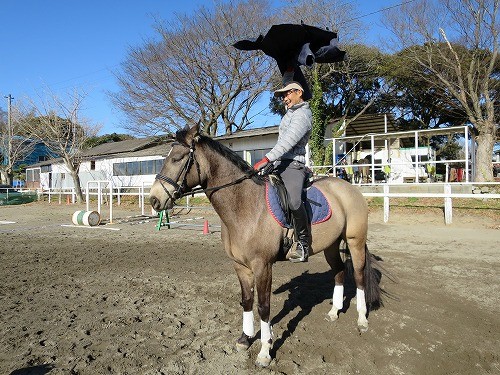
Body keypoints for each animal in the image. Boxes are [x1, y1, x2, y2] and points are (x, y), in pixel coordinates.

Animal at [149, 125, 382, 368]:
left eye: (177, 158)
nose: (154, 199)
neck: (244, 205)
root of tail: (349, 188)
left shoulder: (263, 266)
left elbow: (263, 306)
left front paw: (264, 351)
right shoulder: (240, 266)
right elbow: (247, 301)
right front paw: (245, 339)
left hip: (355, 241)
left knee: (358, 276)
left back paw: (362, 320)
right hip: (331, 245)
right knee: (338, 271)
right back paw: (334, 311)